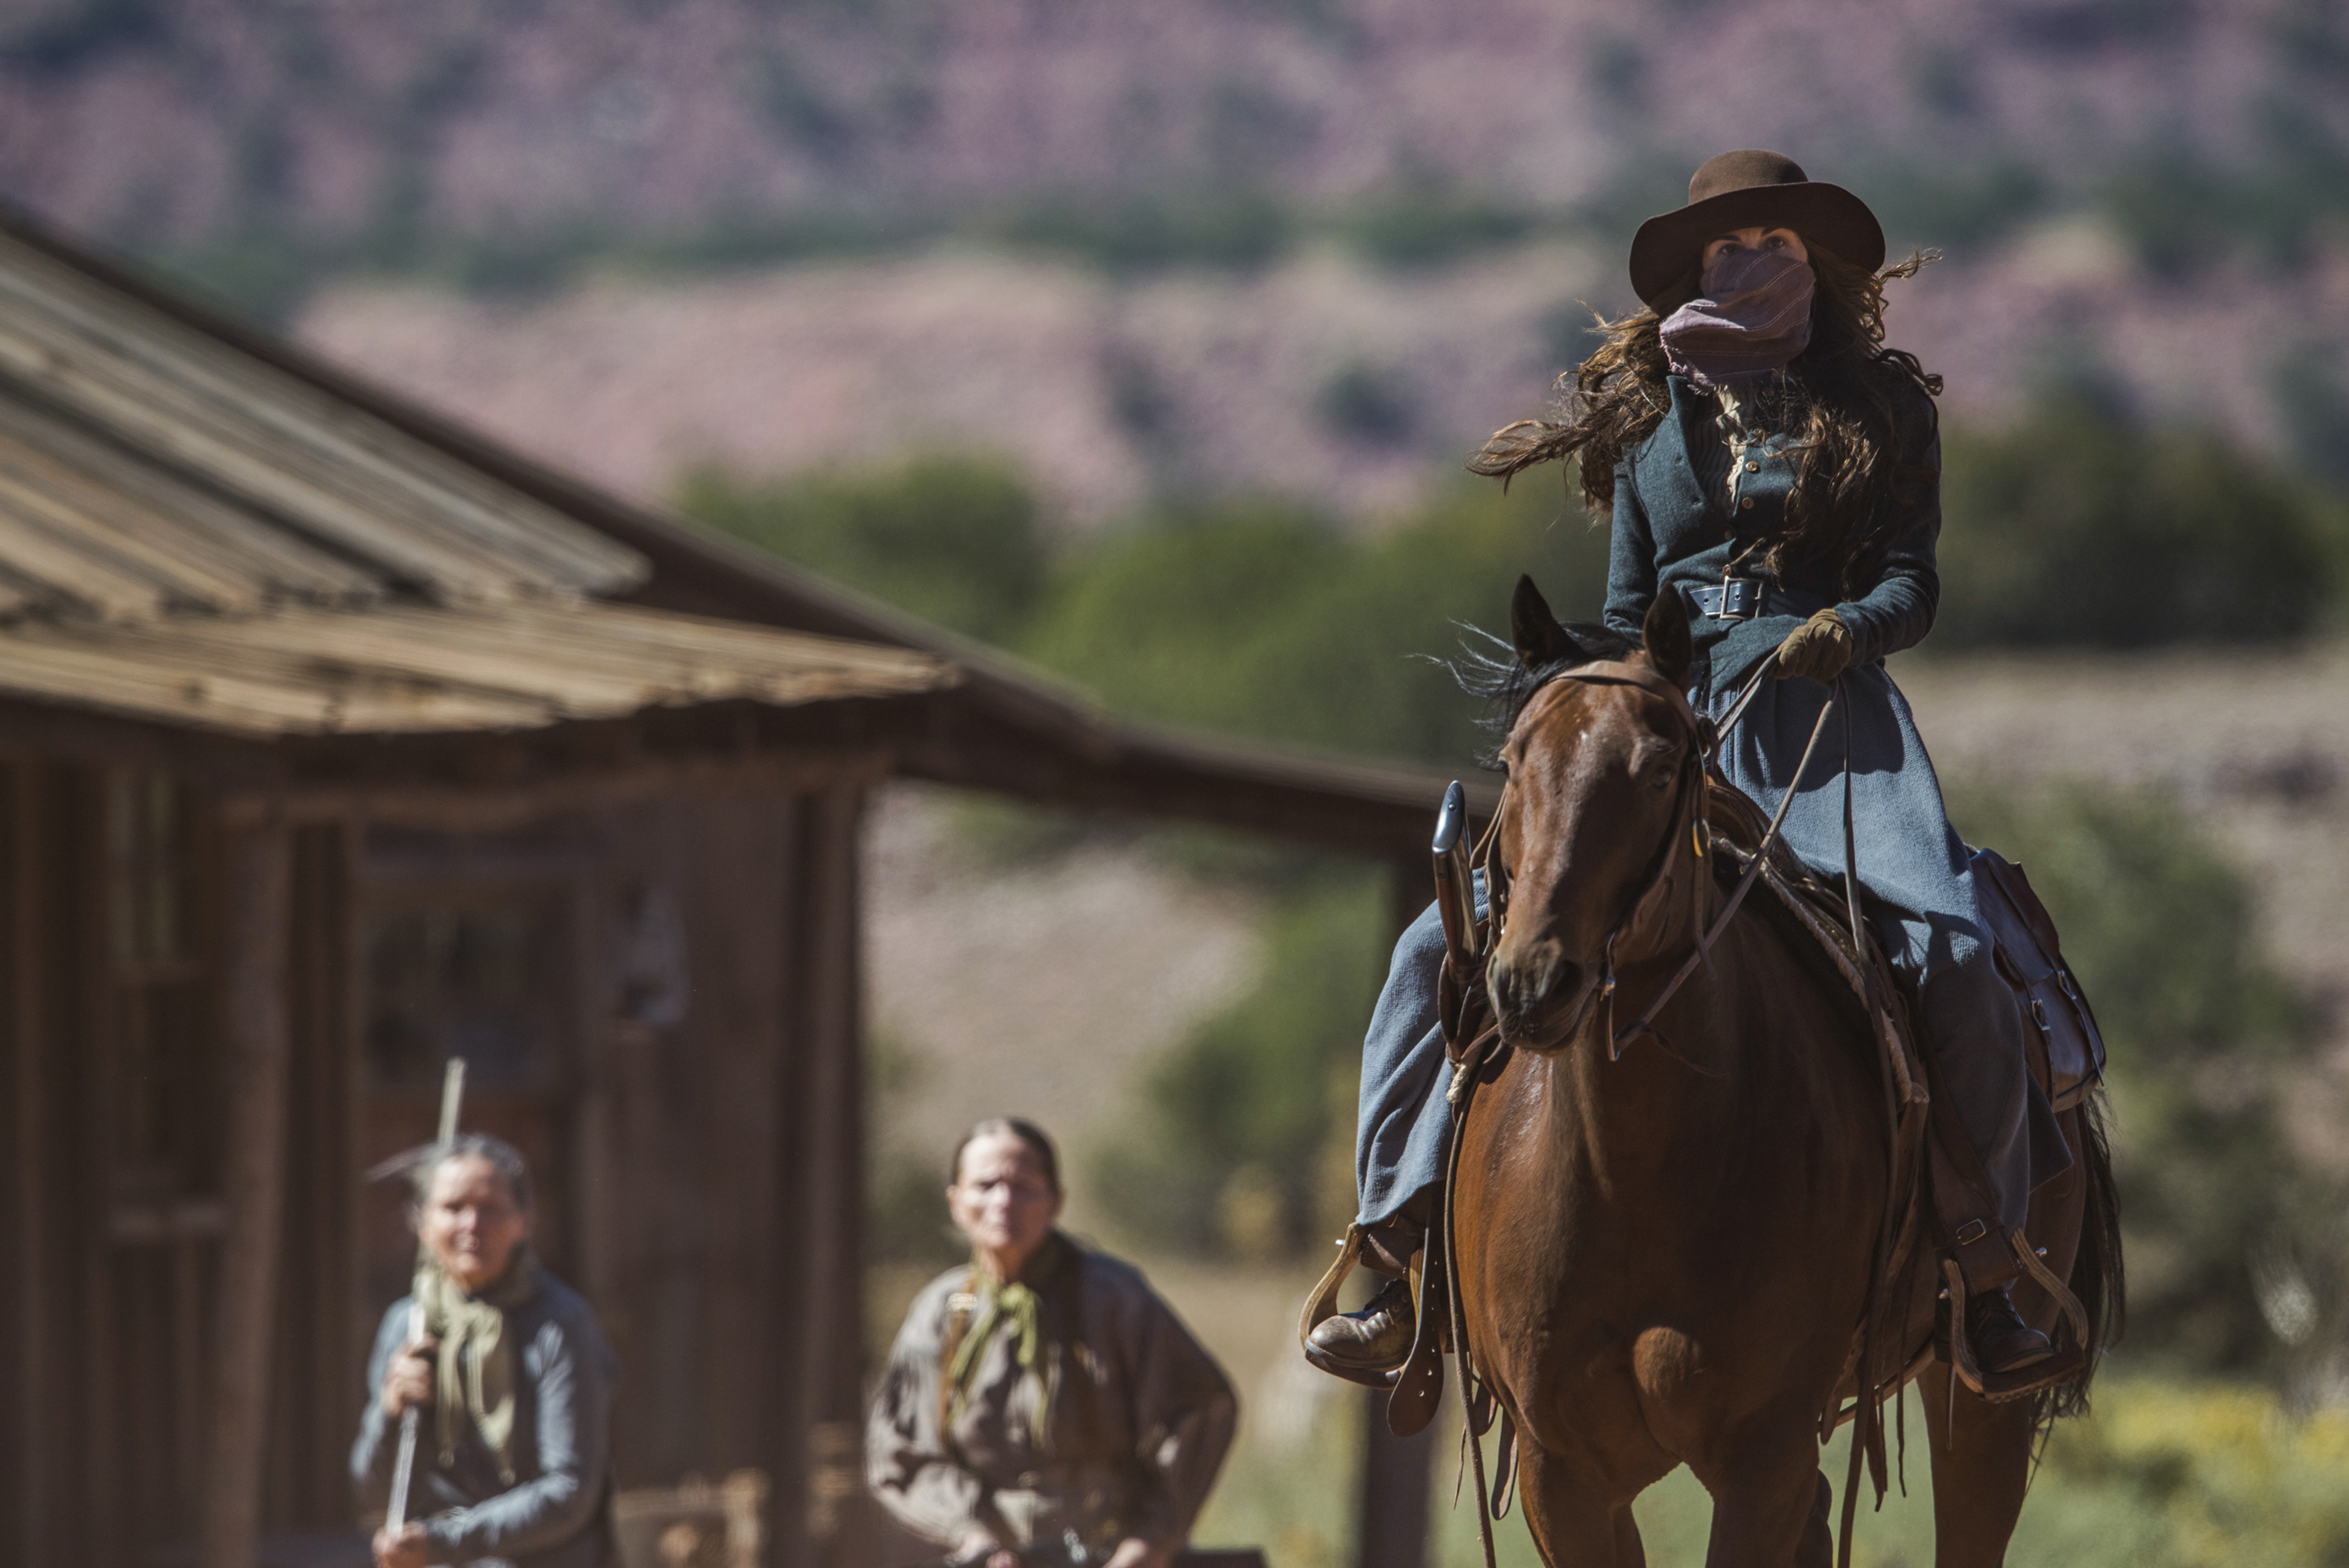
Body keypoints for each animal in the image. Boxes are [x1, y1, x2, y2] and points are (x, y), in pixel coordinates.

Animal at [1456, 582, 2123, 1558]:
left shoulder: (1761, 1459)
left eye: (1661, 768)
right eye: (1511, 761)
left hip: (1983, 1400)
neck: (1634, 1180)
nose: (1535, 983)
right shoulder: (1561, 1473)